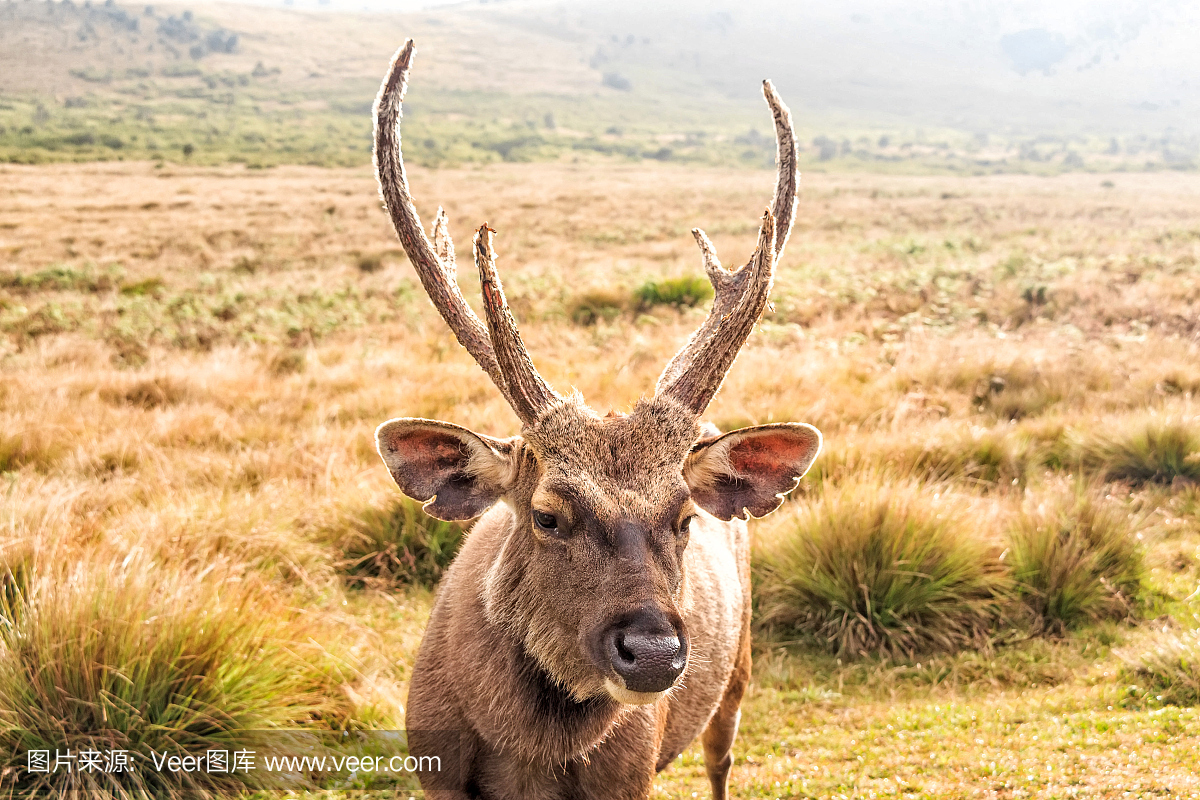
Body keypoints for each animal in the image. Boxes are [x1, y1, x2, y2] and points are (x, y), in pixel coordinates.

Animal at [371, 40, 821, 800]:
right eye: (547, 515)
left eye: (684, 516)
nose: (654, 651)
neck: (527, 764)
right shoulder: (434, 768)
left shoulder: (629, 777)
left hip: (739, 666)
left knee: (720, 758)